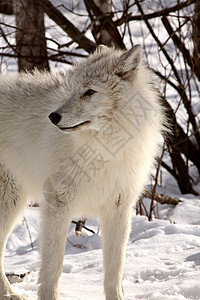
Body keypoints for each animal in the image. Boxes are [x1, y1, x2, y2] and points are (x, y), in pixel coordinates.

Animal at [0, 45, 164, 300]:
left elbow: (115, 270)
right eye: (72, 90)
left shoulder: (118, 207)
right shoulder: (58, 204)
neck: (104, 149)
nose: (53, 116)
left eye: (89, 92)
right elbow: (53, 267)